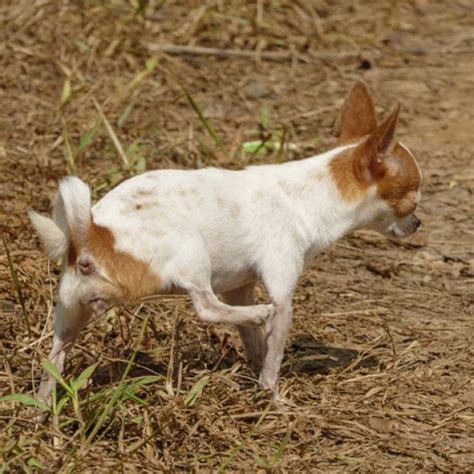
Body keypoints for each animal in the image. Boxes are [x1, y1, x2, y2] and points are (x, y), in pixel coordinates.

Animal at [29, 81, 422, 404]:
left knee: (54, 359)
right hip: (190, 248)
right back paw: (259, 314)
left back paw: (44, 410)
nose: (417, 223)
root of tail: (94, 233)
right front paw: (274, 398)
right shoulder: (282, 290)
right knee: (205, 307)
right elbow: (274, 352)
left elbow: (255, 345)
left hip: (70, 311)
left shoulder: (240, 287)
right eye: (412, 200)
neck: (313, 193)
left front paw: (255, 369)